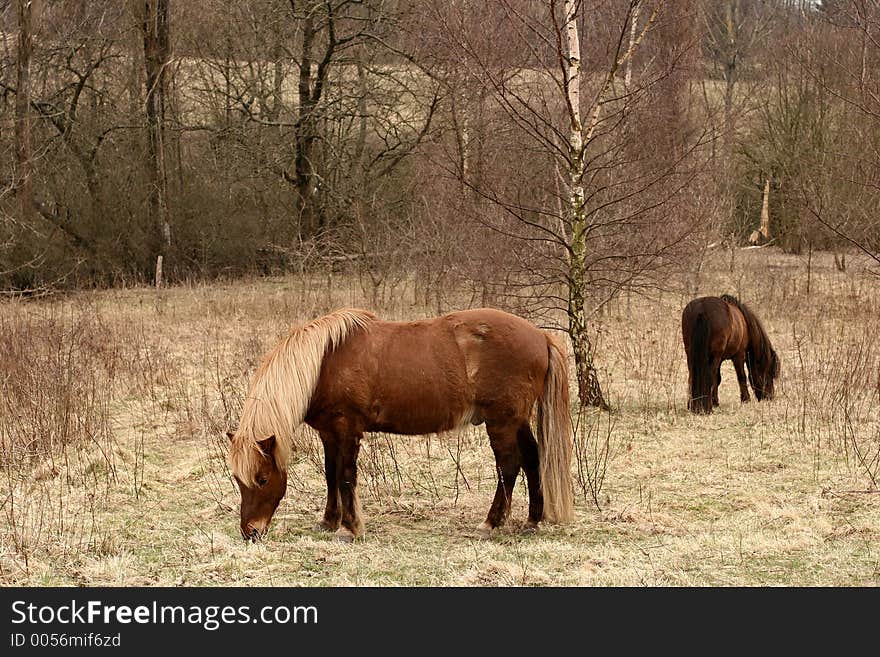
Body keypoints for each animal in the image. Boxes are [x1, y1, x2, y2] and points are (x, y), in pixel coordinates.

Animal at [223, 308, 576, 544]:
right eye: (238, 480)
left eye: (262, 478)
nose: (250, 532)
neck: (323, 363)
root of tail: (541, 335)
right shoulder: (328, 433)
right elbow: (330, 475)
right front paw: (329, 521)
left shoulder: (347, 429)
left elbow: (345, 477)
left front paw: (350, 529)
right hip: (516, 421)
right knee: (533, 459)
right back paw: (532, 520)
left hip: (501, 421)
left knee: (509, 465)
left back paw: (491, 523)